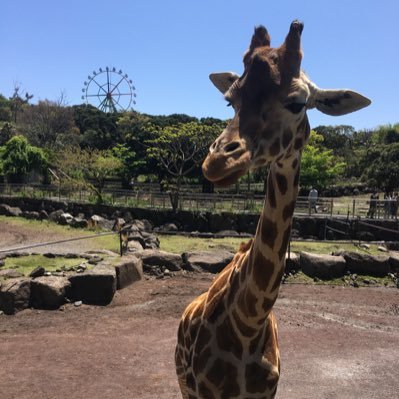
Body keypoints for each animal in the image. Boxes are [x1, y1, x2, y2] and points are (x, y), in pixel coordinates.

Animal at [176, 21, 372, 399]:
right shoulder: (204, 392)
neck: (248, 323)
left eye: (297, 103)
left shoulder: (268, 392)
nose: (218, 161)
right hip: (183, 383)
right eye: (230, 100)